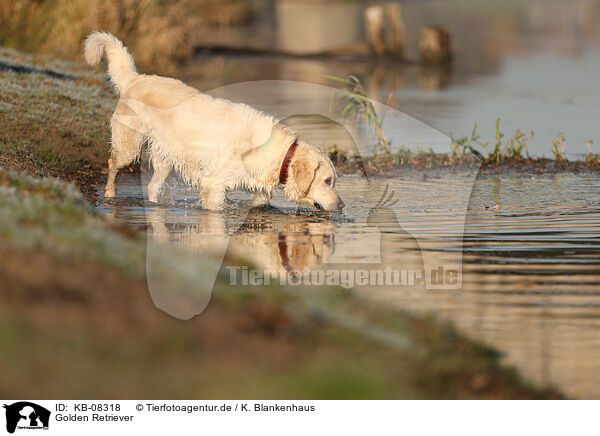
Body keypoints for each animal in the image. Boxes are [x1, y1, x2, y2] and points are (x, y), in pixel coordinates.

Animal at [86, 31, 344, 212]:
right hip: (128, 148)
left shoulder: (254, 185)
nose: (342, 205)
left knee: (152, 186)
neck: (279, 155)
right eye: (327, 181)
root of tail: (134, 78)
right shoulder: (214, 184)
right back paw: (109, 194)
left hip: (166, 157)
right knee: (112, 164)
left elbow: (259, 202)